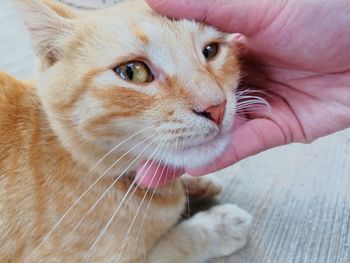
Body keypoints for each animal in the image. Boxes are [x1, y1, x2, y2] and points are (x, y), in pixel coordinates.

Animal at [0, 1, 252, 262]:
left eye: (210, 51)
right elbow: (176, 244)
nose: (217, 108)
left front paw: (199, 182)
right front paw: (219, 226)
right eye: (133, 71)